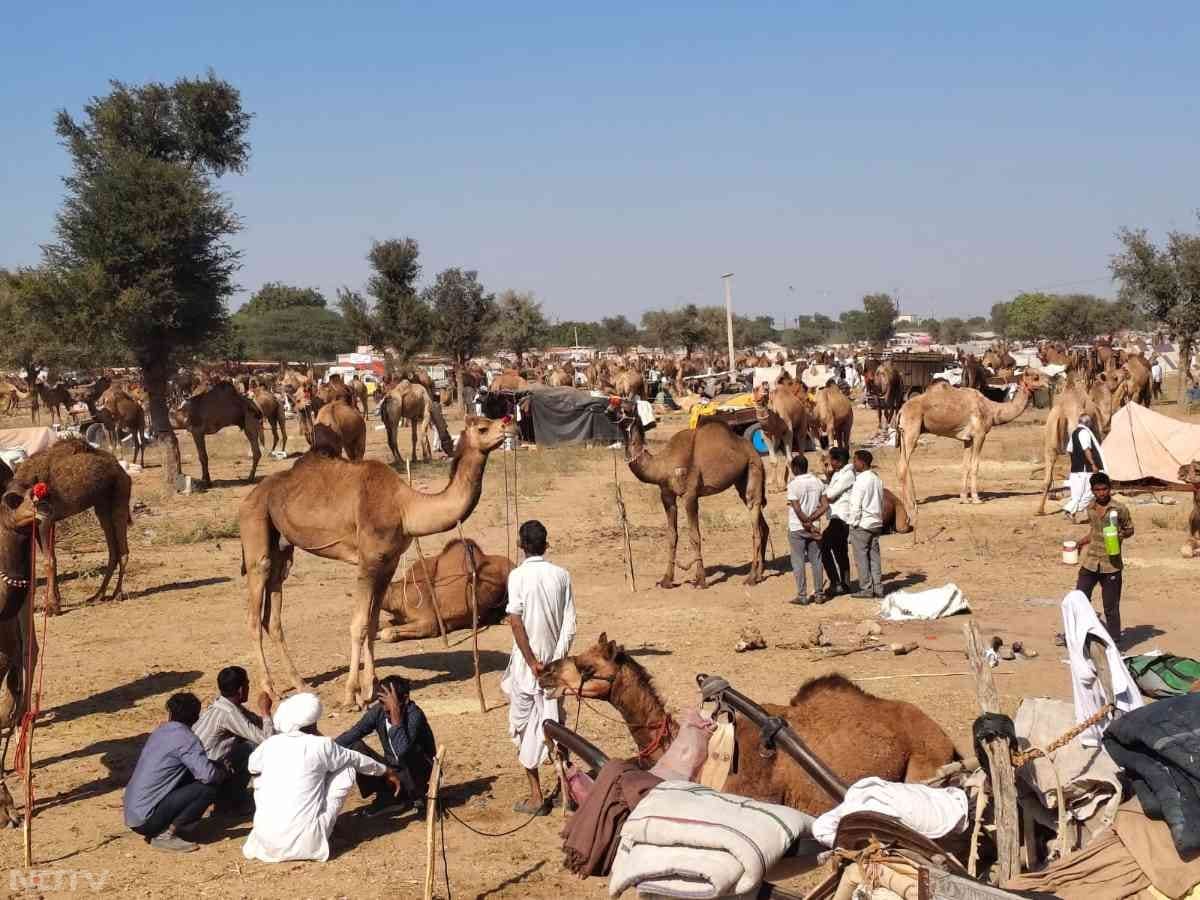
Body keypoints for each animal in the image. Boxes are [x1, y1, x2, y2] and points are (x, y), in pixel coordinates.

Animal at [609, 400, 768, 592]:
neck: (662, 465)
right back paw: (760, 574)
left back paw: (751, 578)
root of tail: (754, 452)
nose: (607, 410)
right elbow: (672, 536)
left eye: (624, 405)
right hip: (741, 480)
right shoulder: (667, 495)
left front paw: (701, 581)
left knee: (755, 519)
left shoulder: (690, 495)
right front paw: (666, 580)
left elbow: (694, 536)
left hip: (753, 468)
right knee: (762, 524)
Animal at [902, 374, 1041, 528]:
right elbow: (975, 466)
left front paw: (963, 498)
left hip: (904, 434)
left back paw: (912, 501)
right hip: (911, 431)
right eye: (1036, 377)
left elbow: (965, 466)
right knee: (903, 466)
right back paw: (910, 505)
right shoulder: (980, 435)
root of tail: (901, 410)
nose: (1050, 383)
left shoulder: (967, 439)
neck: (992, 409)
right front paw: (976, 499)